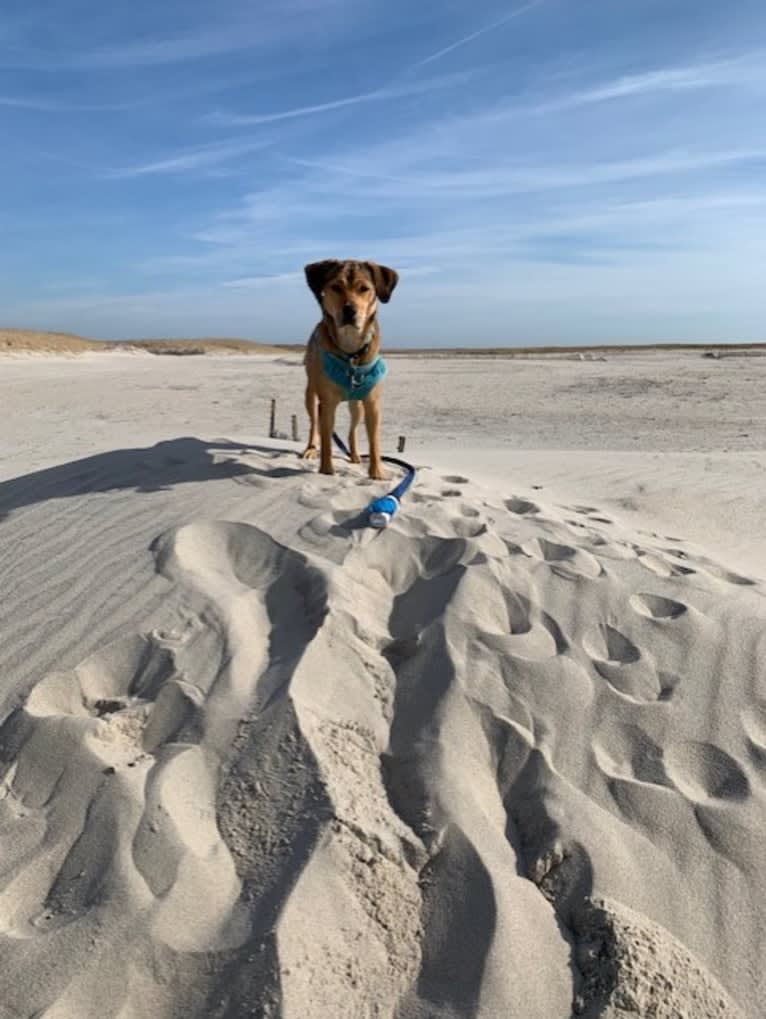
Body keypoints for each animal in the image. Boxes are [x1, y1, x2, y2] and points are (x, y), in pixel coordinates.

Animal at [301, 256, 401, 478]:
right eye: (336, 287)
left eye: (364, 289)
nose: (349, 310)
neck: (351, 351)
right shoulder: (327, 402)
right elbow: (327, 441)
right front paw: (326, 471)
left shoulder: (372, 402)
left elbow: (375, 442)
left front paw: (377, 473)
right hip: (310, 394)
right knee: (314, 425)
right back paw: (311, 449)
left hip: (356, 405)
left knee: (352, 430)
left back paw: (354, 455)